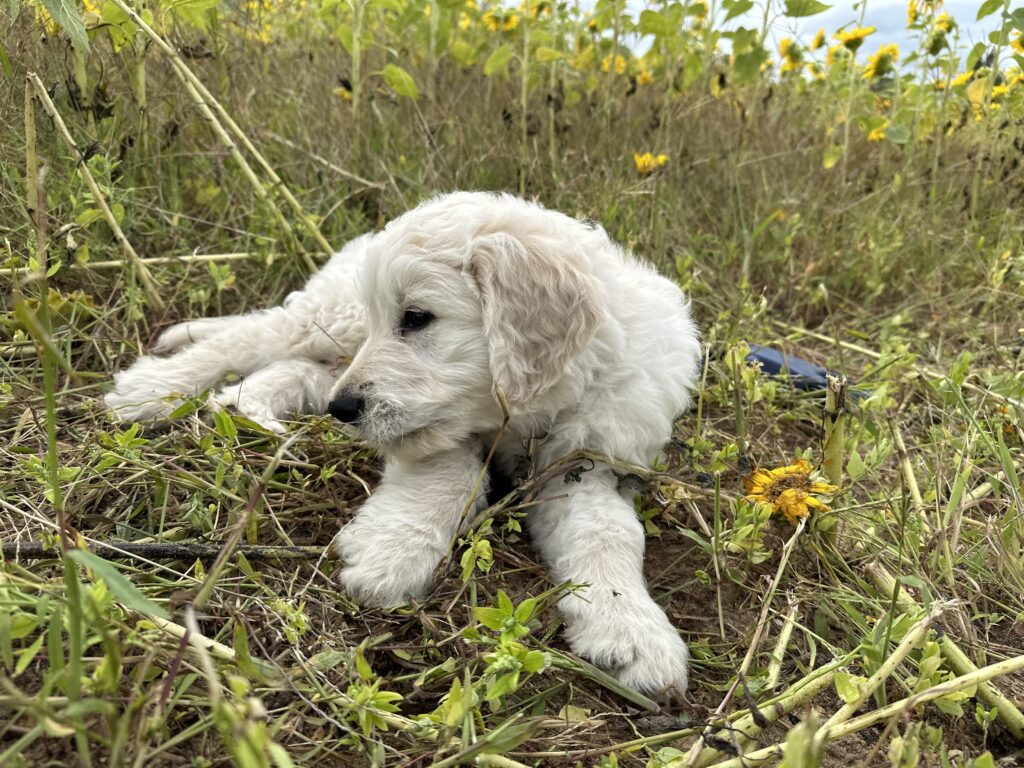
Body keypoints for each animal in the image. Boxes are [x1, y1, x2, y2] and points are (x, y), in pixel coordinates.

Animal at [106, 192, 702, 697]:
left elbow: (609, 532)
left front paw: (633, 631)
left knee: (296, 369)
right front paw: (390, 554)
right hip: (336, 319)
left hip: (335, 356)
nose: (344, 411)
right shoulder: (437, 431)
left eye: (416, 317)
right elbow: (453, 473)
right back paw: (154, 388)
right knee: (255, 336)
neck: (532, 410)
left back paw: (246, 408)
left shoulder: (590, 464)